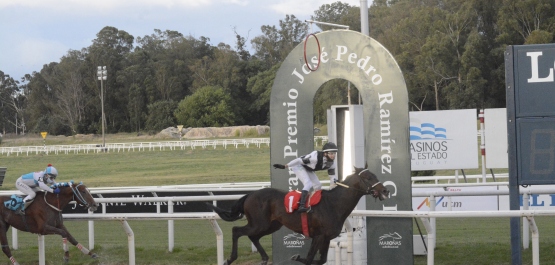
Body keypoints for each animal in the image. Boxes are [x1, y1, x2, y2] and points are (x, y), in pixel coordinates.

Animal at [208, 164, 390, 262]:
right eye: (368, 177)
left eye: (375, 175)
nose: (385, 191)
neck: (334, 204)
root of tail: (250, 194)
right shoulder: (319, 236)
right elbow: (310, 259)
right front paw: (296, 257)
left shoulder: (326, 238)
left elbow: (321, 260)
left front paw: (297, 257)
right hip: (259, 223)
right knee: (236, 231)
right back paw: (230, 258)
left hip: (271, 225)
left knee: (253, 236)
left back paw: (265, 259)